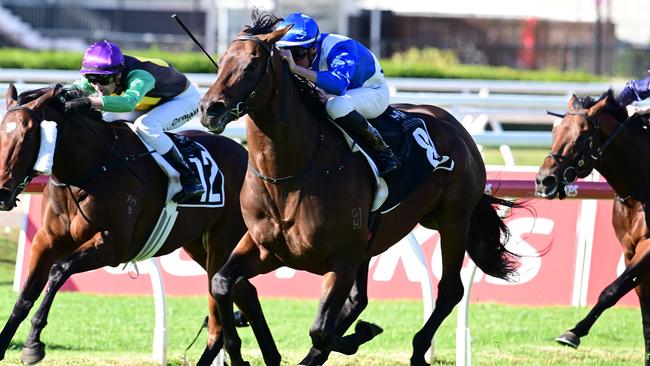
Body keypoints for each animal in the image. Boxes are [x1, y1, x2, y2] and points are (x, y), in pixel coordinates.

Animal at [0, 83, 278, 366]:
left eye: (28, 135)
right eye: (1, 131)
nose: (3, 194)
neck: (89, 167)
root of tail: (245, 155)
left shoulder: (113, 245)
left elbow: (59, 270)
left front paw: (33, 343)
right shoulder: (46, 240)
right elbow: (25, 296)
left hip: (222, 243)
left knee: (223, 306)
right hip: (199, 246)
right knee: (245, 295)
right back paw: (270, 355)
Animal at [200, 12, 520, 366]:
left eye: (252, 65)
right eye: (221, 62)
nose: (209, 109)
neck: (289, 175)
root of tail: (455, 126)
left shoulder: (341, 259)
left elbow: (321, 331)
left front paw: (358, 336)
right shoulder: (266, 248)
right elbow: (221, 283)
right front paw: (235, 349)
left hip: (453, 221)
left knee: (450, 290)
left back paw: (418, 349)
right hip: (378, 239)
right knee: (359, 299)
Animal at [536, 90, 648, 364]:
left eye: (581, 137)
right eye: (555, 131)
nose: (544, 181)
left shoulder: (648, 246)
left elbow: (613, 290)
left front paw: (573, 332)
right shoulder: (630, 250)